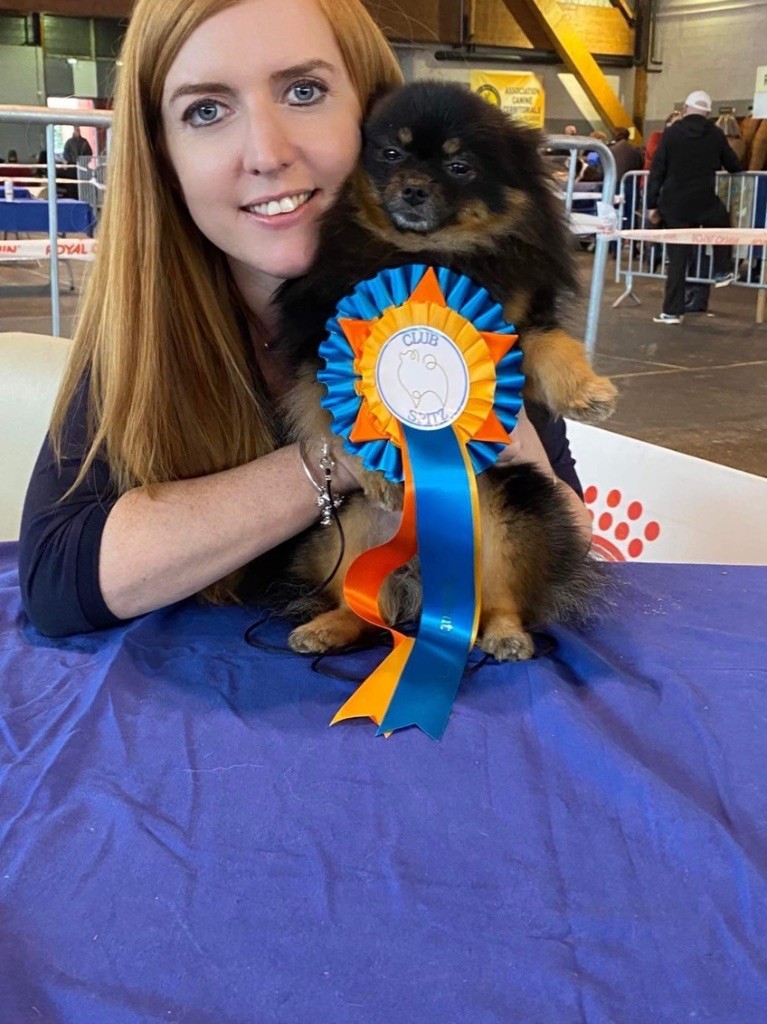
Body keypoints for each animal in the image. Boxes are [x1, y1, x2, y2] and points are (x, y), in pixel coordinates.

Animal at [273, 81, 613, 660]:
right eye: (391, 154)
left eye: (459, 167)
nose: (413, 188)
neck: (430, 254)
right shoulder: (326, 340)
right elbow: (342, 403)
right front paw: (376, 462)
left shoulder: (516, 332)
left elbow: (553, 348)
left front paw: (587, 392)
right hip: (349, 529)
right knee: (358, 603)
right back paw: (327, 627)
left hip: (504, 521)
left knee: (498, 602)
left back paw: (505, 636)